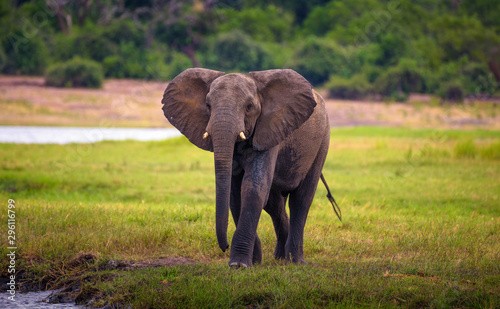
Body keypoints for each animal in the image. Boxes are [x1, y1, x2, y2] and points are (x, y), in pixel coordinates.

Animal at [164, 68, 334, 266]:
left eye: (249, 107)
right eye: (208, 105)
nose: (225, 246)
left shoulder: (270, 129)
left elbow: (253, 188)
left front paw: (240, 264)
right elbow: (234, 193)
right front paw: (252, 261)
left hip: (322, 140)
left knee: (301, 199)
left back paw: (295, 261)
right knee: (275, 205)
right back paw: (279, 258)